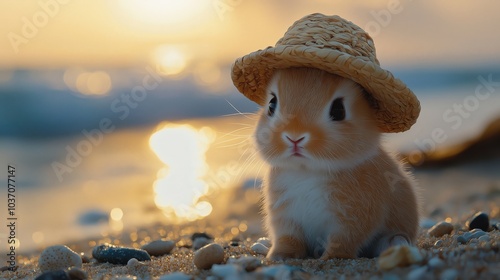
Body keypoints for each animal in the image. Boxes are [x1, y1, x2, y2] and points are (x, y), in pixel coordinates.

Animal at [254, 66, 418, 260]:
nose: (294, 137)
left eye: (339, 110)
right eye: (272, 104)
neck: (308, 171)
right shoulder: (285, 217)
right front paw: (279, 256)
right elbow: (289, 239)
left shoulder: (352, 219)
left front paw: (331, 258)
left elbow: (342, 240)